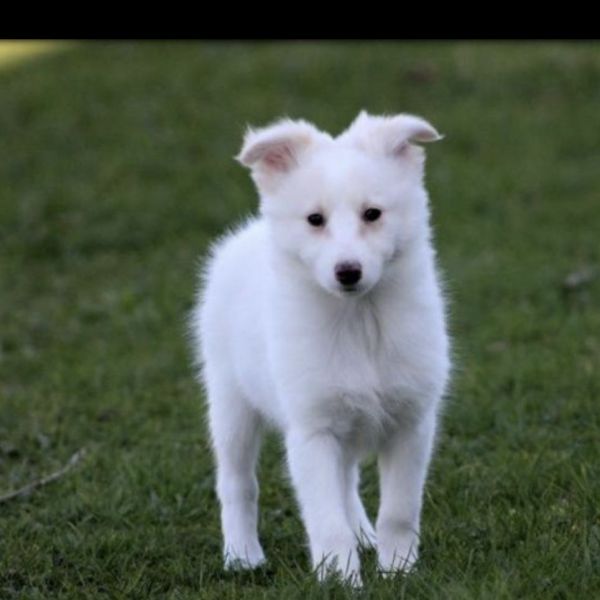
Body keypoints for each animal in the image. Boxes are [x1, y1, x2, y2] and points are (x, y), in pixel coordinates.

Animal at [192, 110, 450, 584]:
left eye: (373, 214)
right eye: (314, 219)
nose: (348, 272)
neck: (359, 322)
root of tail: (247, 234)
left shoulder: (411, 423)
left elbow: (399, 511)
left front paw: (398, 571)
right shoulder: (312, 431)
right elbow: (326, 520)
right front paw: (342, 581)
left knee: (346, 482)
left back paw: (365, 535)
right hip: (231, 403)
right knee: (237, 484)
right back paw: (242, 555)